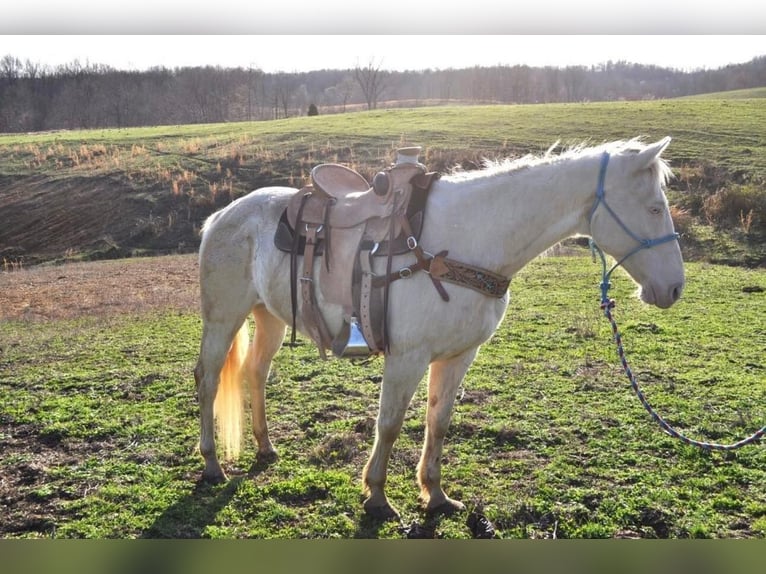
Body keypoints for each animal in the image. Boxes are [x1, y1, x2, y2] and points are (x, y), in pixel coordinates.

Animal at [195, 140, 688, 520]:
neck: (466, 239)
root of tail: (221, 216)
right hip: (223, 319)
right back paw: (213, 465)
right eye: (654, 207)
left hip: (270, 317)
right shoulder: (406, 357)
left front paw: (434, 495)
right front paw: (377, 497)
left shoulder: (457, 356)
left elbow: (439, 422)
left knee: (255, 373)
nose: (674, 288)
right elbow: (390, 424)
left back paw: (265, 448)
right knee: (208, 379)